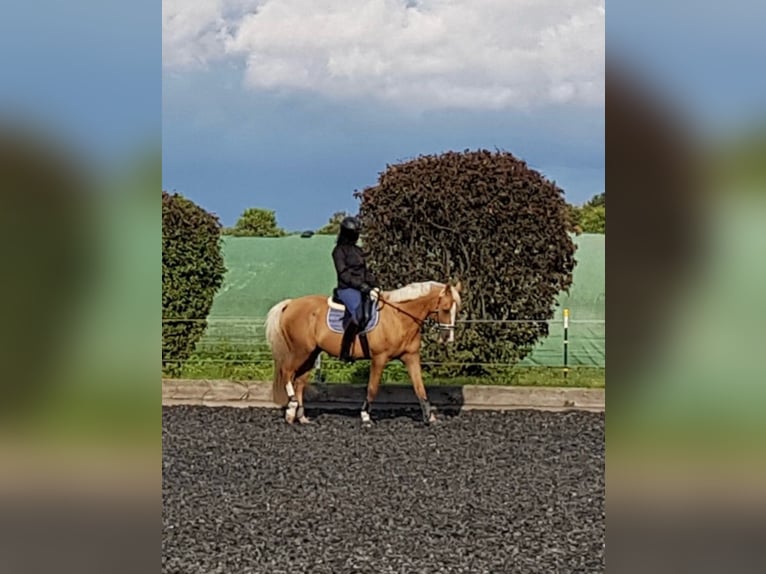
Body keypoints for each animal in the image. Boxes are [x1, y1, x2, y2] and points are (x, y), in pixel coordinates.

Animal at [268, 282, 464, 426]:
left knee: (300, 381)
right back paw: (292, 407)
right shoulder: (379, 357)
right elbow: (372, 387)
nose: (448, 338)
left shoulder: (411, 357)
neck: (399, 317)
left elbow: (419, 387)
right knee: (287, 372)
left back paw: (299, 417)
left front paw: (430, 417)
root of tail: (290, 303)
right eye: (445, 308)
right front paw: (365, 417)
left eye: (457, 310)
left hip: (311, 354)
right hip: (300, 351)